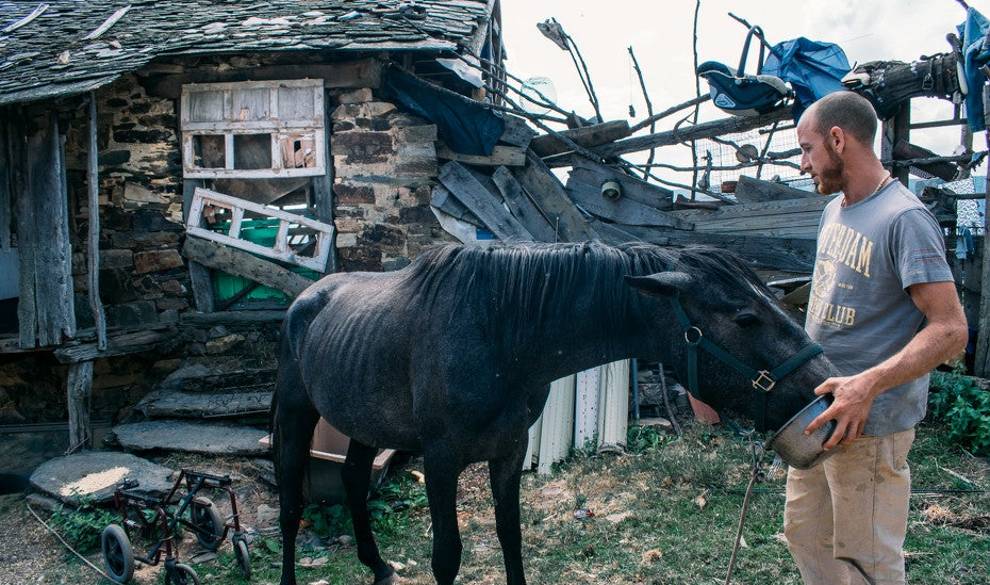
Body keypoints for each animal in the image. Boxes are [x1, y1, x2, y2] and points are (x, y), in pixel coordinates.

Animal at [274, 241, 836, 584]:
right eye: (745, 317)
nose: (828, 392)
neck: (498, 332)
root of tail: (308, 296)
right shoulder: (440, 460)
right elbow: (447, 556)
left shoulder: (510, 450)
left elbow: (511, 536)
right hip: (295, 417)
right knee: (290, 507)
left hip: (364, 421)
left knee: (352, 480)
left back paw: (377, 565)